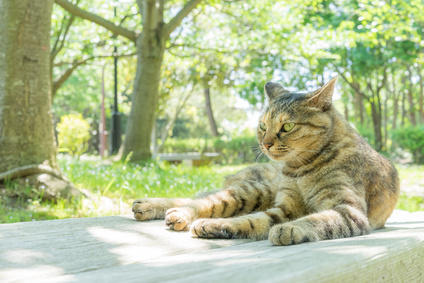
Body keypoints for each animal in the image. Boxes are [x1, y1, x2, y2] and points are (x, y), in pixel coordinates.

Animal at [133, 77, 400, 246]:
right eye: (263, 126)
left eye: (287, 126)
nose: (266, 143)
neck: (299, 169)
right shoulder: (286, 206)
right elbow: (255, 220)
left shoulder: (348, 210)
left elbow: (314, 219)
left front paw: (290, 228)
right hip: (252, 190)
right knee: (201, 200)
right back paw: (161, 208)